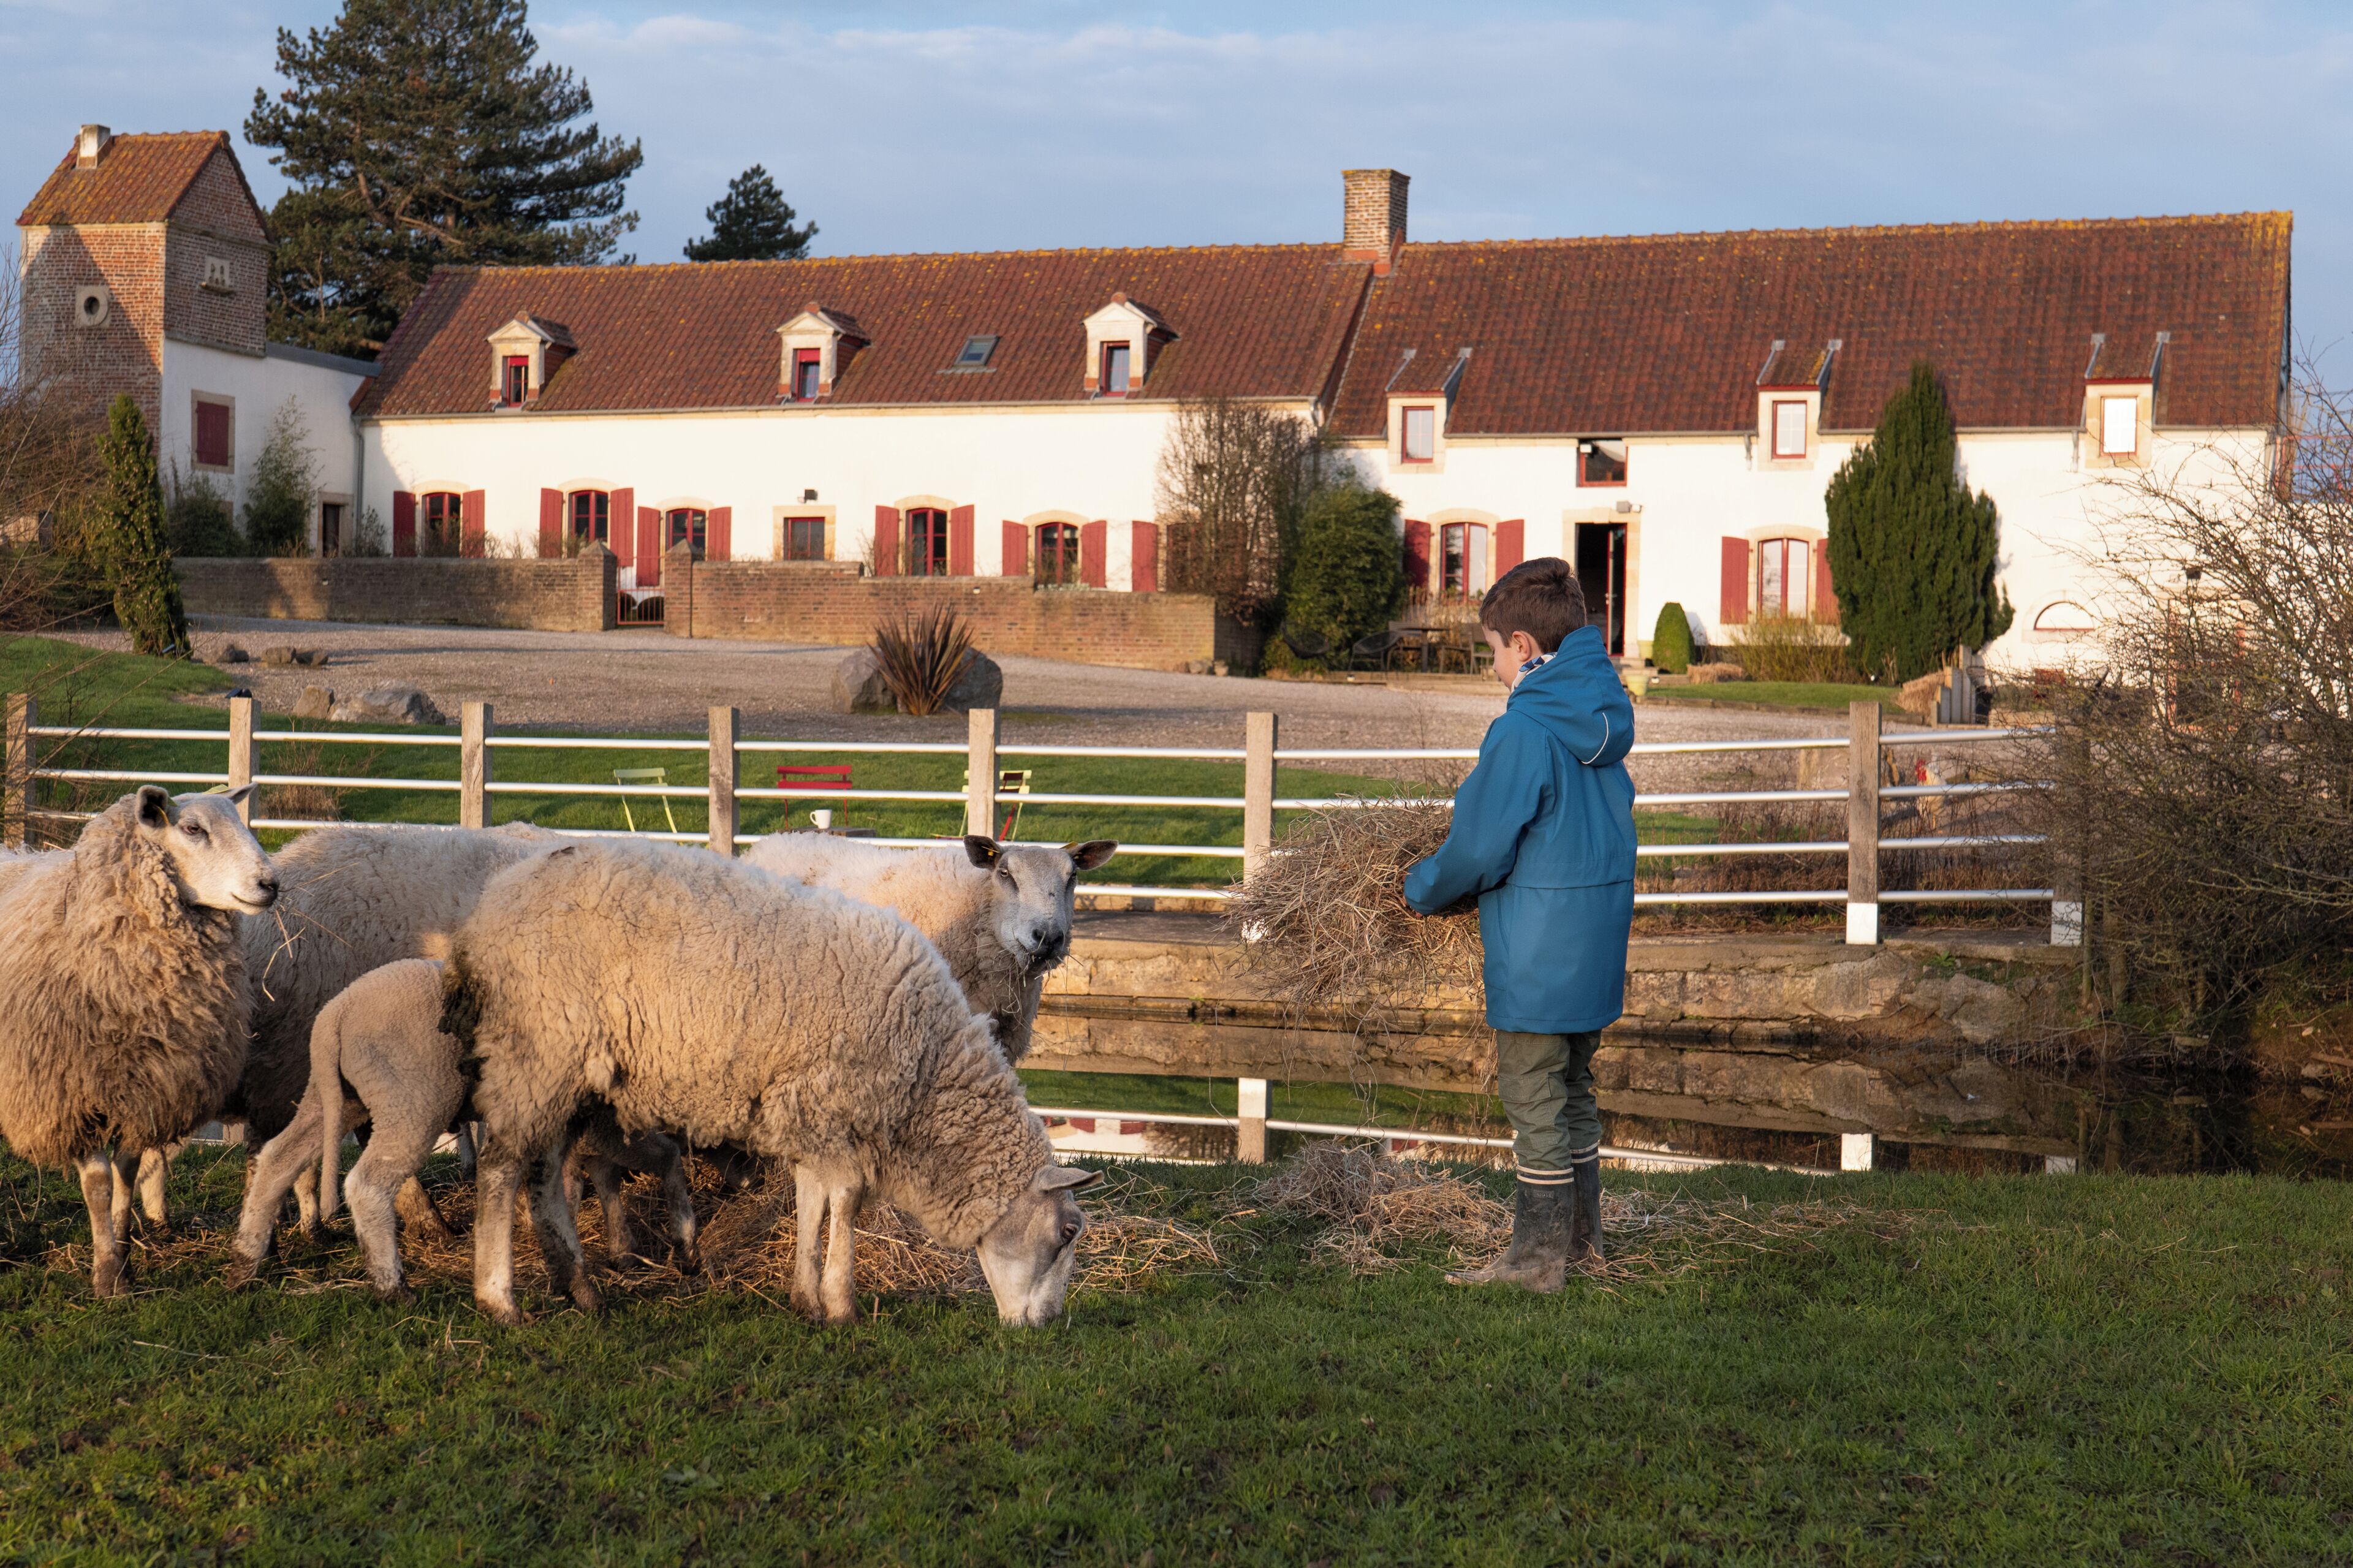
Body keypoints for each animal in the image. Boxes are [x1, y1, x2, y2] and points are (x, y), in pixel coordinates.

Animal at [0, 786, 277, 1295]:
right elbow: (98, 1185)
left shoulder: (143, 1091)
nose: (270, 884)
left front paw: (124, 1258)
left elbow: (126, 1175)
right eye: (193, 829)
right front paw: (106, 1275)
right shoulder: (74, 1095)